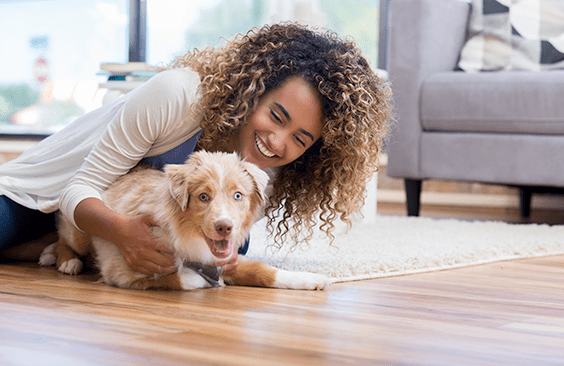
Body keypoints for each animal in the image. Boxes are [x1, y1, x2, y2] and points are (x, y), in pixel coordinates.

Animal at [38, 150, 330, 290]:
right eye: (203, 196)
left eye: (238, 195)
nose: (225, 227)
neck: (187, 233)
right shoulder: (122, 270)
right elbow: (180, 278)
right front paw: (206, 280)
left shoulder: (227, 258)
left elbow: (265, 270)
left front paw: (311, 279)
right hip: (80, 229)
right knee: (64, 237)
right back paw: (63, 259)